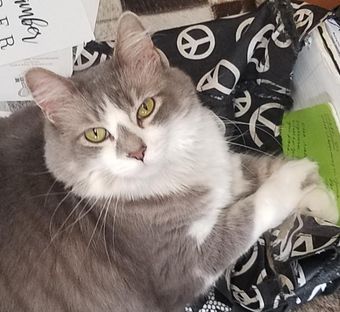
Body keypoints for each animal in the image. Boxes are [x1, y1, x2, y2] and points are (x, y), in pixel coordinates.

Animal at [0, 12, 338, 312]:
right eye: (96, 134)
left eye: (146, 108)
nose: (137, 152)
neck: (176, 172)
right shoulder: (181, 265)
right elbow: (252, 210)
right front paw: (293, 180)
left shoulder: (225, 166)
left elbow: (259, 167)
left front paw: (323, 201)